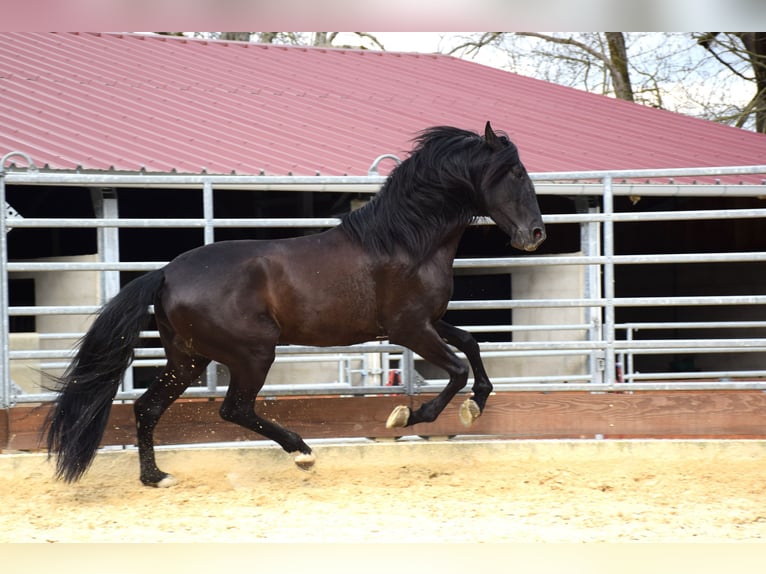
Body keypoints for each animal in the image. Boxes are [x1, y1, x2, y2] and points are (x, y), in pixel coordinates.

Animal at [43, 124, 544, 488]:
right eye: (517, 173)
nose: (535, 234)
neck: (405, 242)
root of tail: (165, 273)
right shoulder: (409, 328)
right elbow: (456, 368)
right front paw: (411, 415)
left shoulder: (429, 321)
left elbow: (472, 344)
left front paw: (476, 403)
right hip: (252, 353)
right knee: (233, 410)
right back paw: (302, 452)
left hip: (188, 357)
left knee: (148, 408)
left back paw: (156, 477)